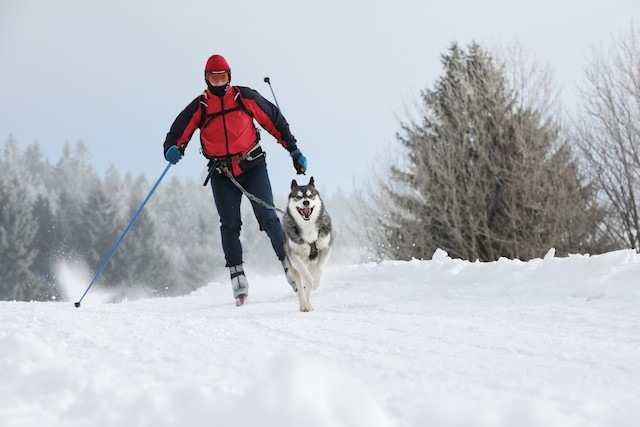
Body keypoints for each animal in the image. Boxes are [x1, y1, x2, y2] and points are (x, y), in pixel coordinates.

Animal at [284, 178, 336, 314]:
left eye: (310, 195)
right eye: (298, 197)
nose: (306, 202)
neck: (308, 228)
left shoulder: (326, 247)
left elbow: (320, 269)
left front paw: (316, 282)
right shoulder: (294, 255)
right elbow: (304, 272)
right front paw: (311, 281)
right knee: (300, 285)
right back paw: (304, 305)